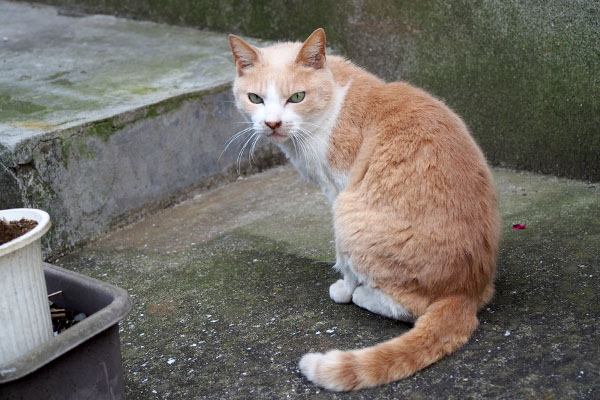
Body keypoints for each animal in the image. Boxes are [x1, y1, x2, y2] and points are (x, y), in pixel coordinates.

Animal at [227, 29, 500, 392]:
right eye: (255, 98)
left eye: (297, 97)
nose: (272, 123)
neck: (332, 100)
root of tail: (465, 292)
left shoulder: (338, 191)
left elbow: (344, 263)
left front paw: (344, 288)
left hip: (349, 215)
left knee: (408, 307)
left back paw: (362, 295)